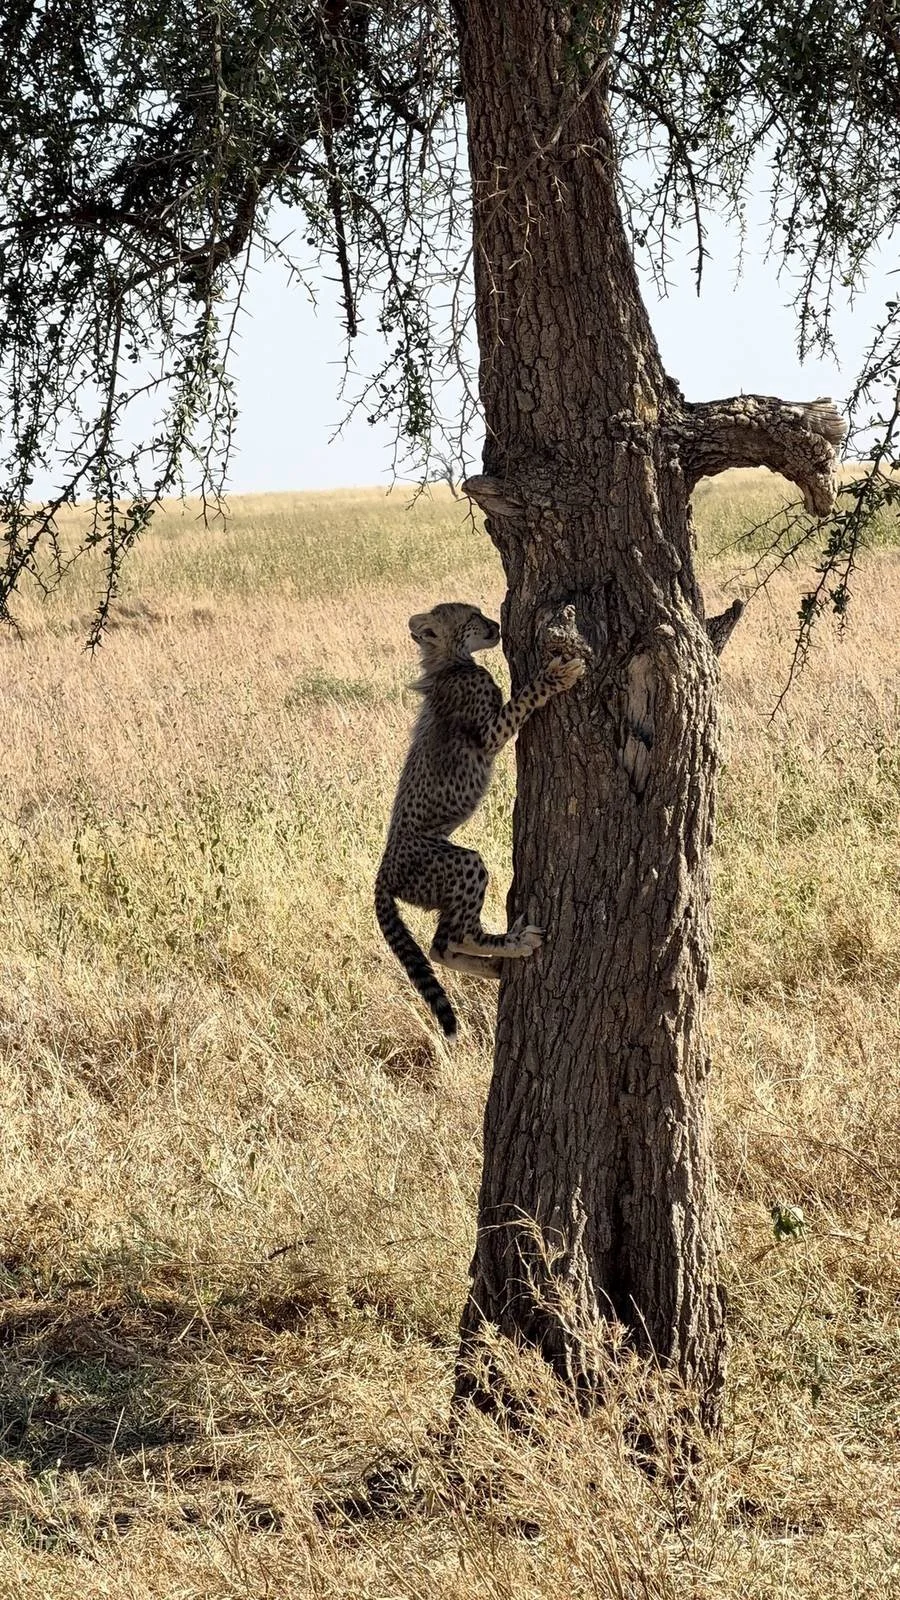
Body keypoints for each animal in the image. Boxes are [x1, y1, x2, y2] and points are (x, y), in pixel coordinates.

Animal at [375, 601, 585, 1037]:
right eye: (471, 616)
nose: (495, 626)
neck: (449, 663)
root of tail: (381, 876)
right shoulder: (488, 733)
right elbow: (523, 699)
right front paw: (553, 676)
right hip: (460, 863)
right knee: (454, 935)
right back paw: (515, 943)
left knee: (440, 946)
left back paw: (495, 965)